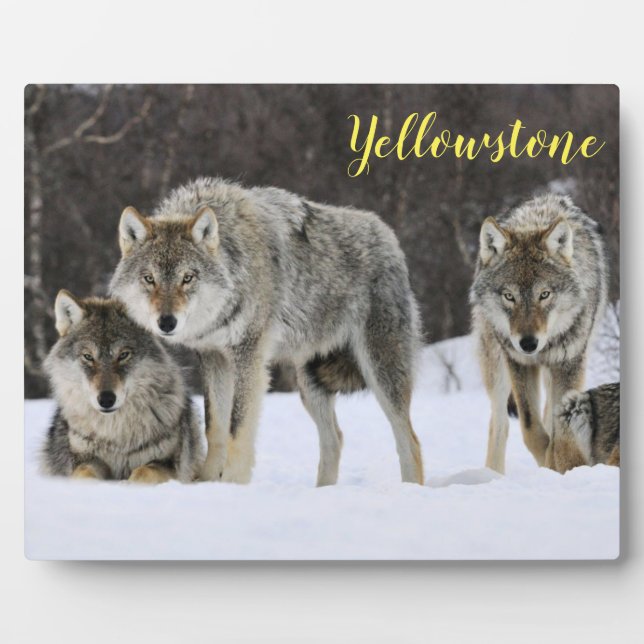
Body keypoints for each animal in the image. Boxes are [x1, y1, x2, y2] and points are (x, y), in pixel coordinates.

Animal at [42, 291, 204, 483]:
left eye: (123, 355)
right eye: (88, 356)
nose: (106, 399)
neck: (116, 435)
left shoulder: (168, 464)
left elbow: (143, 473)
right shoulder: (84, 459)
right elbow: (84, 474)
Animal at [110, 177, 424, 486]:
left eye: (187, 278)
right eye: (149, 278)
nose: (167, 322)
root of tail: (388, 235)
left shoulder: (249, 356)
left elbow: (237, 428)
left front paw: (232, 484)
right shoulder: (213, 357)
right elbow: (215, 427)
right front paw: (207, 482)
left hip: (380, 372)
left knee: (410, 441)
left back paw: (410, 488)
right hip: (310, 384)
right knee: (335, 438)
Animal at [470, 194, 608, 473]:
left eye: (544, 294)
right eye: (509, 296)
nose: (528, 343)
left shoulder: (569, 363)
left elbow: (558, 427)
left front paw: (558, 465)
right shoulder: (519, 363)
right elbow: (531, 427)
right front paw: (547, 460)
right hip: (496, 366)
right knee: (499, 423)